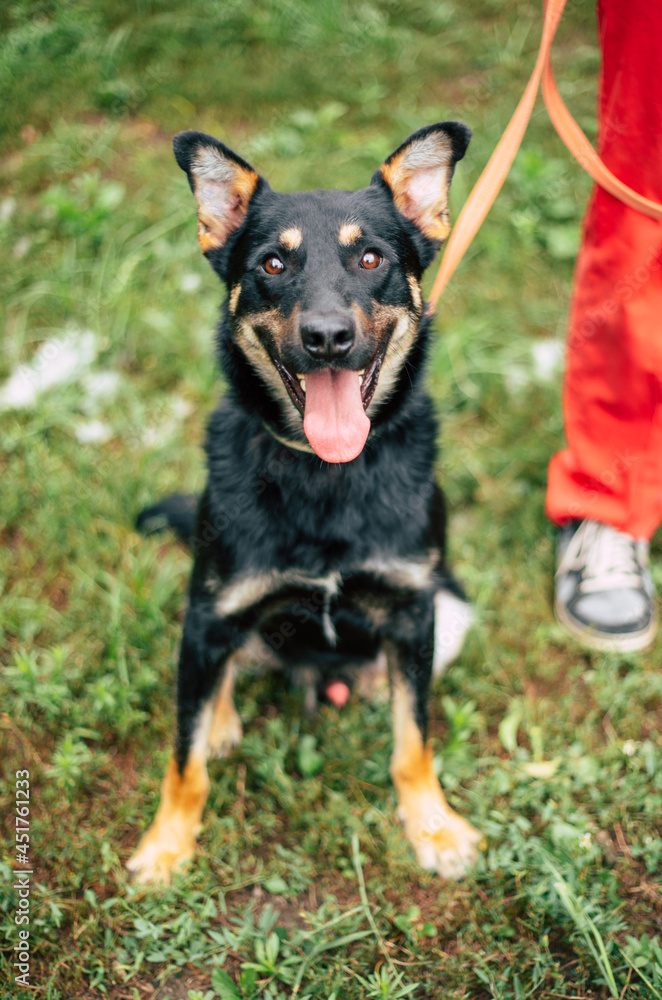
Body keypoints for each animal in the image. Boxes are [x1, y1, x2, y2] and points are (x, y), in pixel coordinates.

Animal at [128, 123, 482, 884]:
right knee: (219, 673)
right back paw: (223, 717)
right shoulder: (213, 609)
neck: (327, 474)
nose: (326, 338)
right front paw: (167, 845)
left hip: (452, 607)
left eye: (372, 257)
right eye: (272, 264)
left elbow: (414, 743)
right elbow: (184, 761)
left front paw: (433, 828)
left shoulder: (414, 608)